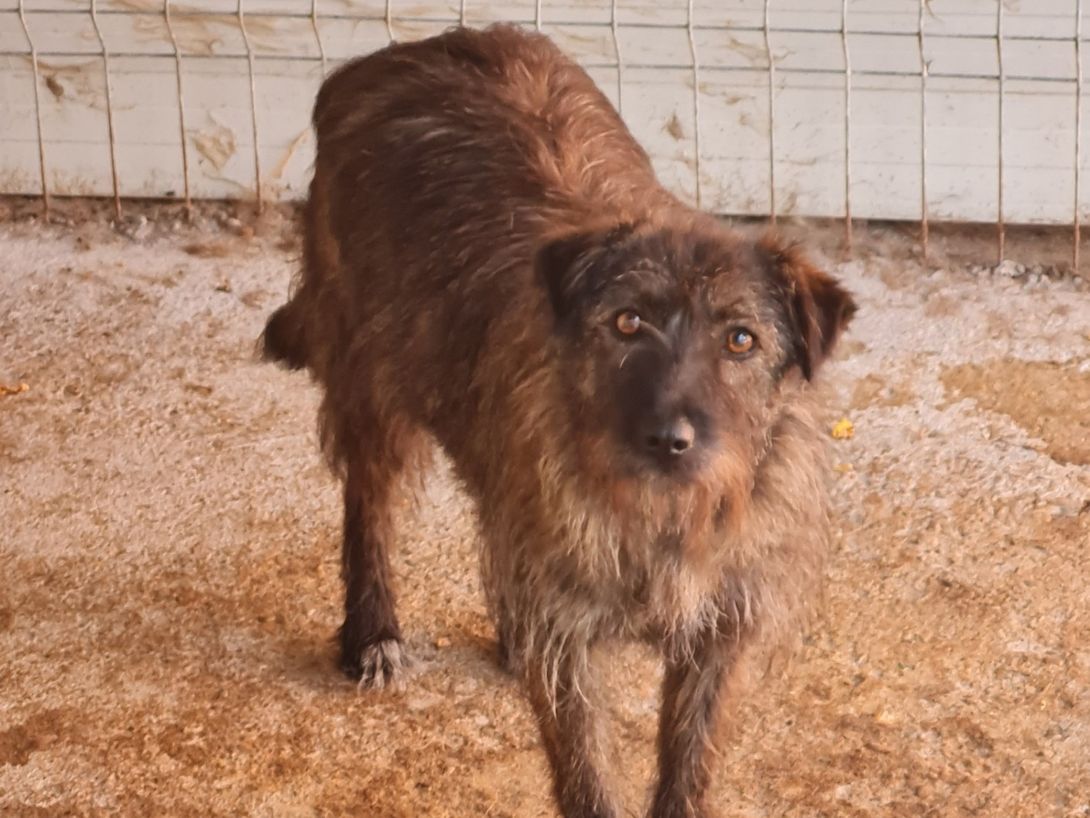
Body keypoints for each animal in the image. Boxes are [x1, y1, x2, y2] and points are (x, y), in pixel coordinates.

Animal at [261, 23, 856, 818]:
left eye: (741, 339)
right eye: (628, 322)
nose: (670, 441)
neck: (659, 519)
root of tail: (395, 54)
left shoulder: (718, 637)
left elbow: (688, 764)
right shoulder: (569, 645)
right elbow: (585, 770)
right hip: (373, 381)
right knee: (369, 505)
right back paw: (372, 631)